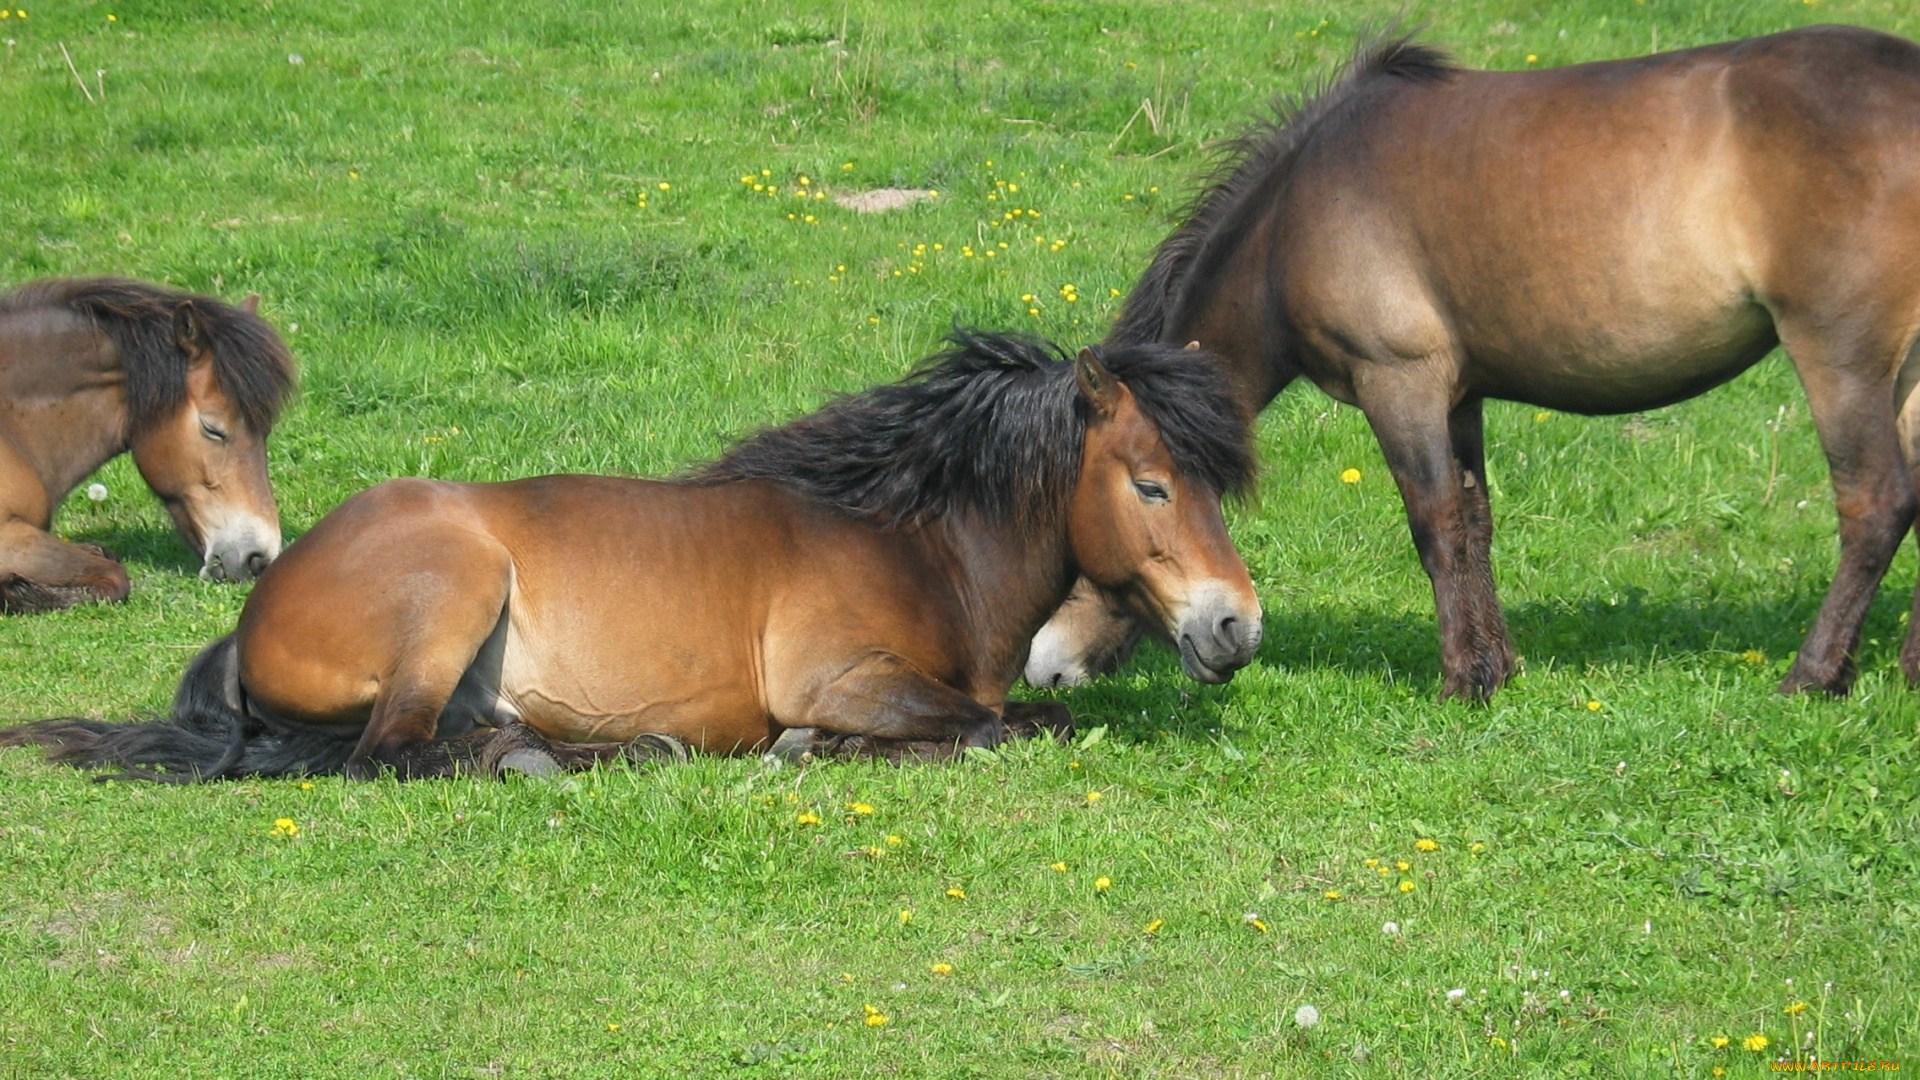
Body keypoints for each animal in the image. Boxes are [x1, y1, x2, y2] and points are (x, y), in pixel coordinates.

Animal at [0, 272, 295, 611]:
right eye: (212, 428)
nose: (259, 558)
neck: (11, 432)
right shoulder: (9, 535)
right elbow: (115, 577)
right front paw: (15, 591)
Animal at [7, 332, 1267, 776]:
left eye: (1211, 483)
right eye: (1152, 483)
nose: (1236, 625)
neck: (915, 545)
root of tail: (258, 606)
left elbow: (1020, 717)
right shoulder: (842, 678)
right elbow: (994, 726)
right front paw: (814, 749)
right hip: (455, 591)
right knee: (395, 752)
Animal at [1029, 27, 1920, 699]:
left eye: (1139, 492)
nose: (1045, 666)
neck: (1293, 219)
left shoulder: (1401, 381)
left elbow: (1435, 525)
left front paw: (1463, 680)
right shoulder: (1459, 396)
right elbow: (1477, 520)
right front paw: (1503, 664)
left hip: (1840, 357)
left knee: (1876, 504)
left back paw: (1812, 677)